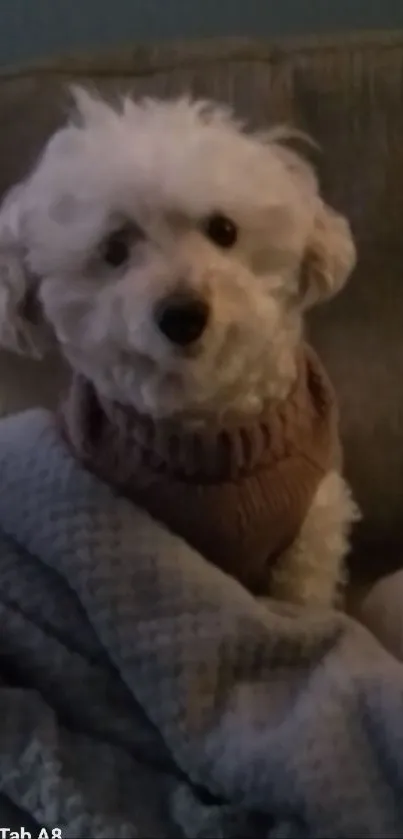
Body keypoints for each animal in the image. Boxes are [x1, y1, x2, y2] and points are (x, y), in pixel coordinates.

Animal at [0, 88, 360, 608]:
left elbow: (303, 597)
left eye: (223, 229)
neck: (209, 433)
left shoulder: (313, 524)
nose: (182, 316)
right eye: (114, 250)